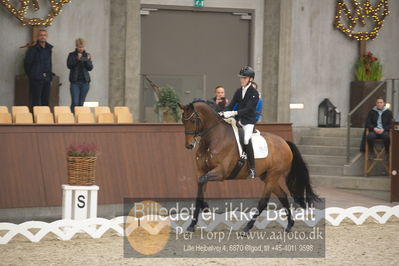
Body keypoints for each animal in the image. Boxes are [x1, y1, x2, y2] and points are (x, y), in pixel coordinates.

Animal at [180, 101, 320, 234]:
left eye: (193, 120)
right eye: (183, 120)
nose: (189, 145)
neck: (212, 140)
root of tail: (284, 142)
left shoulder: (221, 172)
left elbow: (202, 181)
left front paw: (205, 207)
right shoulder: (202, 171)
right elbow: (199, 187)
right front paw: (192, 224)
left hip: (273, 175)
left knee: (263, 202)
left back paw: (247, 228)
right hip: (266, 176)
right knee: (283, 196)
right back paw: (289, 225)